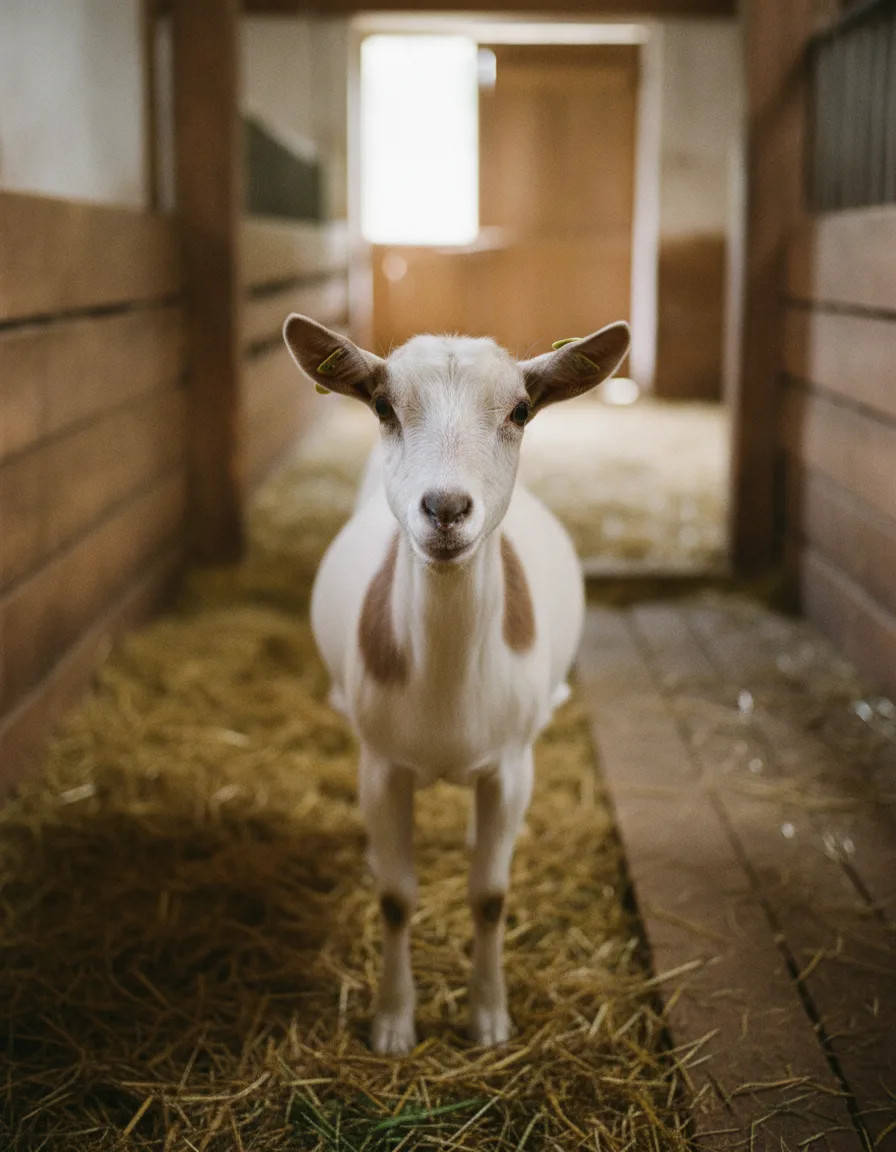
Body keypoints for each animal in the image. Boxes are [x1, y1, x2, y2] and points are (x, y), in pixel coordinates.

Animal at [283, 314, 631, 1054]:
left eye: (521, 411)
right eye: (382, 406)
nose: (445, 508)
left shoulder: (511, 766)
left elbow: (490, 896)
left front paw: (489, 1019)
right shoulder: (381, 765)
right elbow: (395, 898)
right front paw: (392, 1023)